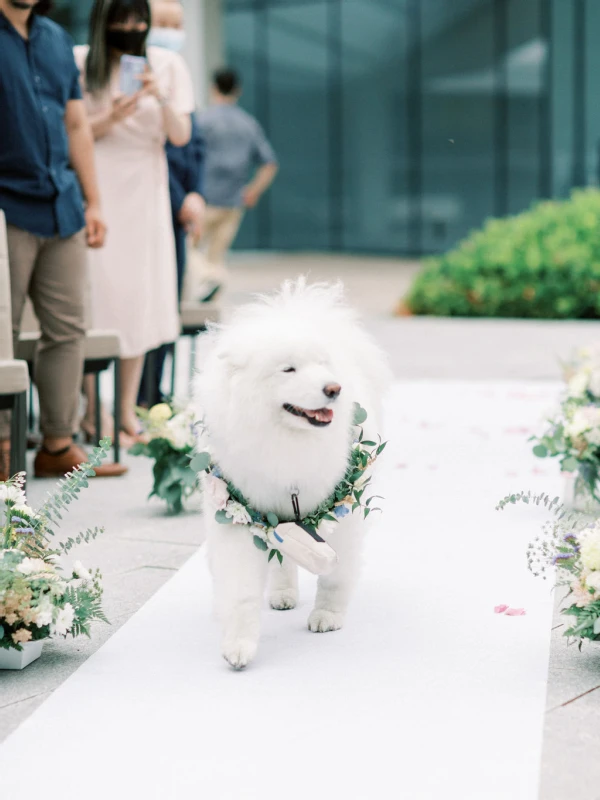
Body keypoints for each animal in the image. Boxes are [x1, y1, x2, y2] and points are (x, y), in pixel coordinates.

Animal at [197, 278, 392, 664]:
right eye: (288, 369)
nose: (333, 388)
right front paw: (238, 646)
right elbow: (240, 590)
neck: (285, 443)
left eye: (321, 364)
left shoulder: (340, 512)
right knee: (281, 559)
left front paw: (327, 616)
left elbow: (336, 574)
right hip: (272, 520)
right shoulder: (239, 514)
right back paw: (282, 595)